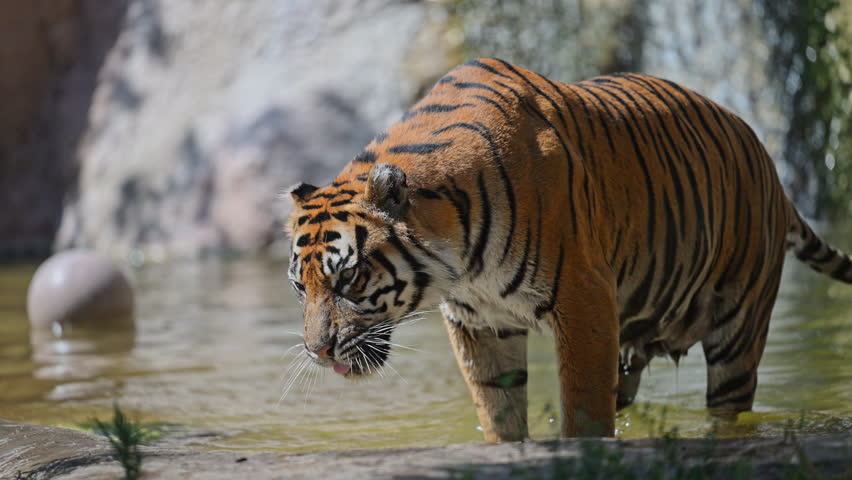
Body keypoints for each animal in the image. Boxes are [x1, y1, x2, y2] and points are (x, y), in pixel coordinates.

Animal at [284, 58, 852, 440]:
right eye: (299, 287)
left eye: (349, 278)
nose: (318, 351)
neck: (461, 265)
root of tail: (768, 163)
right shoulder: (478, 322)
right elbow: (498, 410)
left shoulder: (583, 298)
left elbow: (582, 411)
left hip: (738, 326)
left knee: (730, 409)